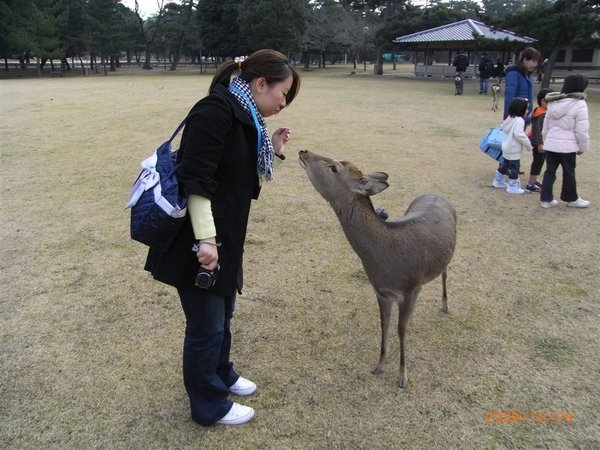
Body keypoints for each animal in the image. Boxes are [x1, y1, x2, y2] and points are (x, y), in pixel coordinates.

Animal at [298, 150, 458, 386]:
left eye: (334, 168)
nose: (304, 151)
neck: (386, 262)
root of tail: (439, 194)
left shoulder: (407, 290)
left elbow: (401, 330)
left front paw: (403, 377)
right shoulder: (381, 291)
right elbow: (384, 324)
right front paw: (379, 365)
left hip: (448, 254)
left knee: (445, 273)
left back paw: (445, 305)